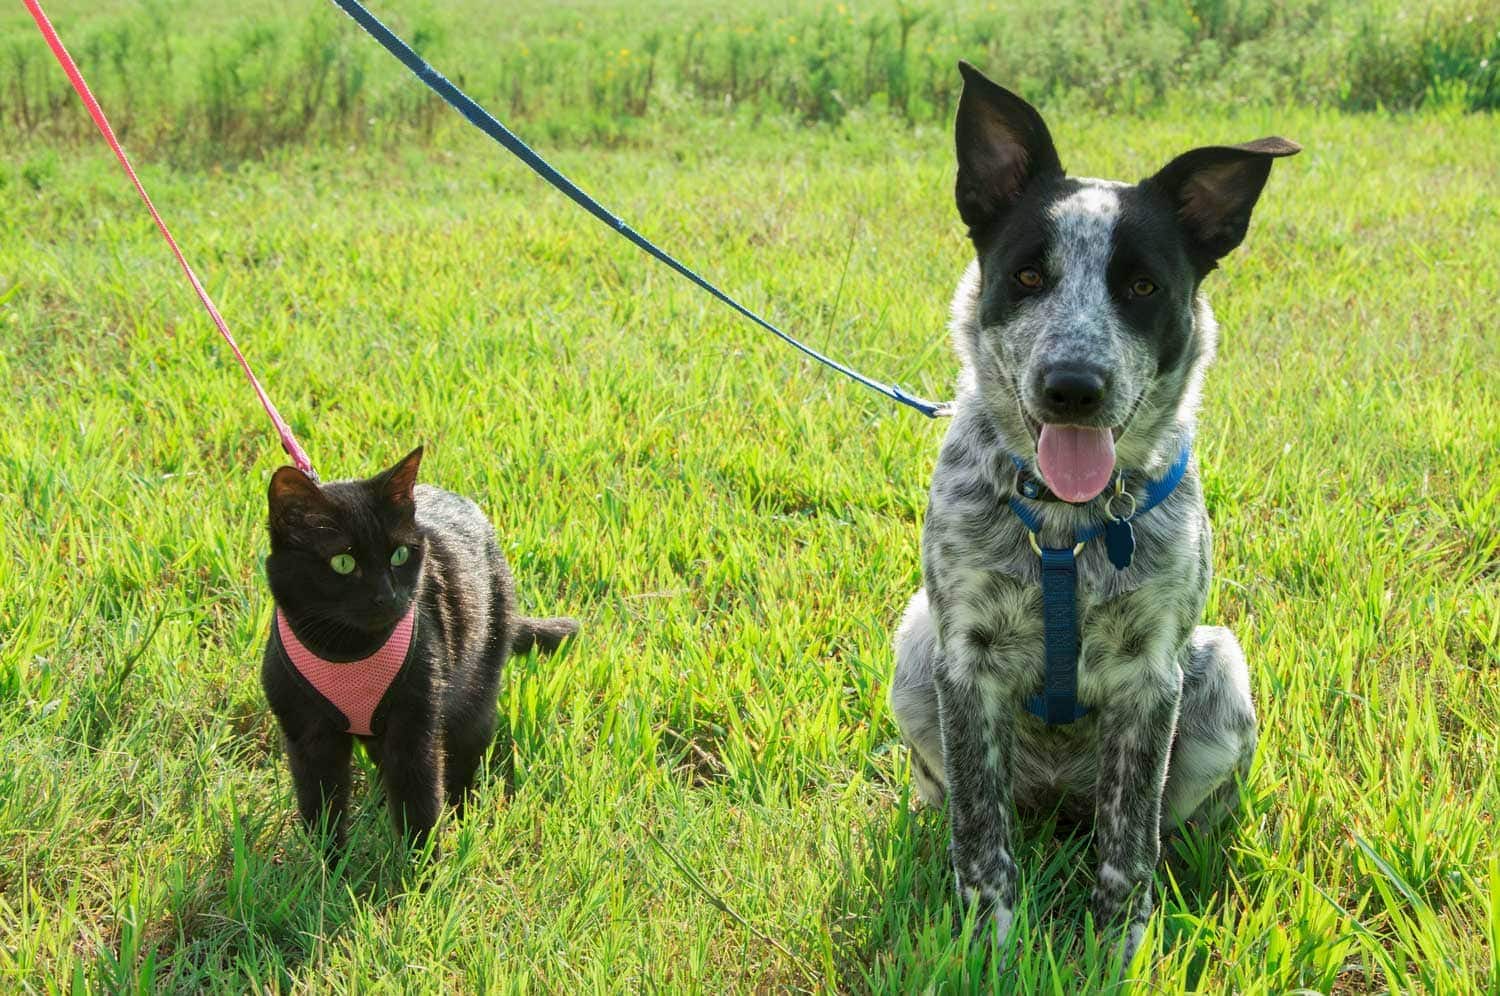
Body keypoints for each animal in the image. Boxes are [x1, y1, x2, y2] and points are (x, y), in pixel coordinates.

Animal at [259, 444, 573, 858]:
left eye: (399, 556)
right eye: (343, 562)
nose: (388, 595)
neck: (348, 649)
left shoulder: (415, 727)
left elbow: (420, 805)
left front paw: (422, 869)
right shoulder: (307, 735)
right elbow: (321, 810)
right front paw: (327, 868)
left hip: (475, 693)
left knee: (462, 760)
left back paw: (460, 815)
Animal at [888, 64, 1302, 966]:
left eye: (1142, 287)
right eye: (1028, 277)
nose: (1072, 387)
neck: (1067, 531)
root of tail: (1057, 800)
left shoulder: (1151, 677)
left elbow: (1129, 842)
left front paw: (1119, 949)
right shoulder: (965, 664)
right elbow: (982, 836)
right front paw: (989, 950)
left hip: (1218, 670)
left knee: (1161, 821)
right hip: (912, 650)